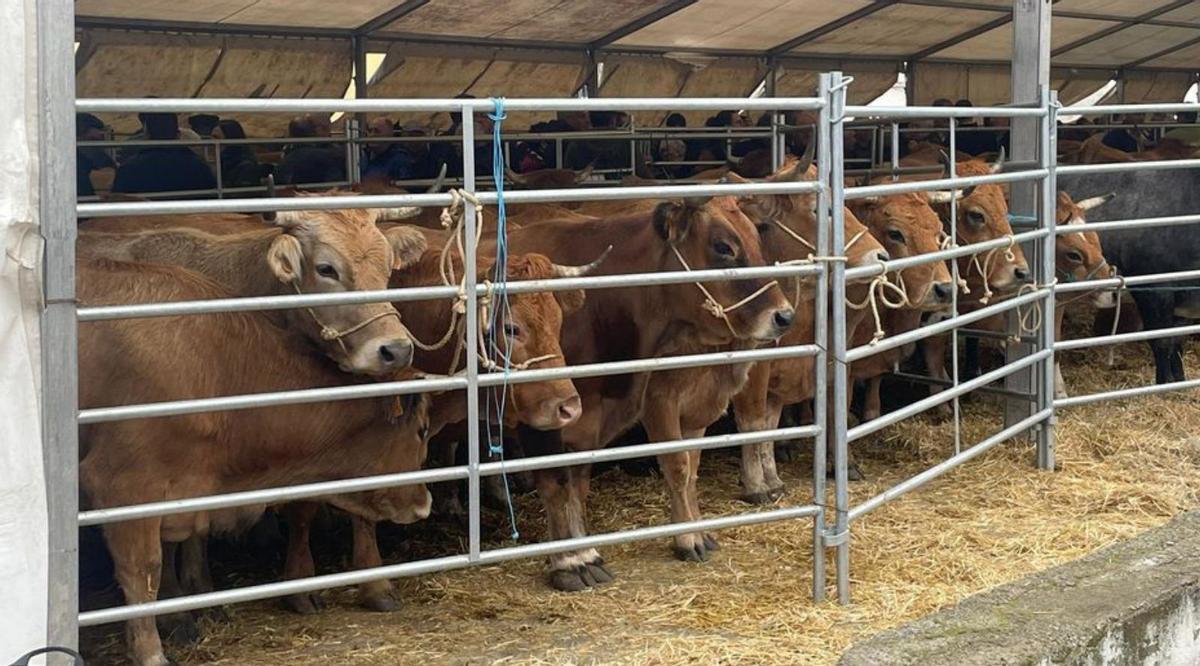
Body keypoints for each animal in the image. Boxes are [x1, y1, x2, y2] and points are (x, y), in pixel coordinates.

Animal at [78, 258, 434, 666]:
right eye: (422, 430)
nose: (425, 504)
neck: (218, 366)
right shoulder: (123, 484)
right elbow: (142, 571)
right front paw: (151, 651)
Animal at [498, 195, 796, 591]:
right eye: (723, 247)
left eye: (756, 237)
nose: (785, 316)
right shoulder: (557, 413)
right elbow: (560, 483)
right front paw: (571, 562)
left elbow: (685, 467)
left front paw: (696, 531)